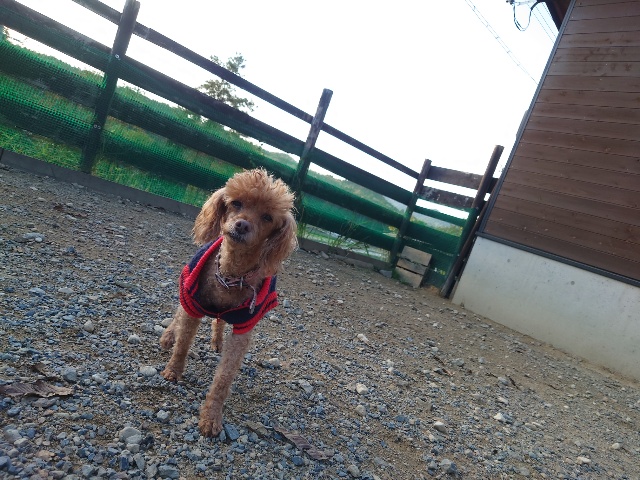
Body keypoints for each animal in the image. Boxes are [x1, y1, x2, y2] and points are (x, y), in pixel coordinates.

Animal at [159, 168, 297, 437]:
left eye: (267, 217)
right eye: (236, 203)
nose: (242, 224)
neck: (230, 275)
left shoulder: (244, 328)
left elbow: (224, 377)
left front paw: (211, 417)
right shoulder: (193, 304)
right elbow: (183, 343)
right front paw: (173, 371)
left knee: (219, 322)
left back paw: (217, 341)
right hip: (186, 286)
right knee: (178, 313)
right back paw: (168, 336)